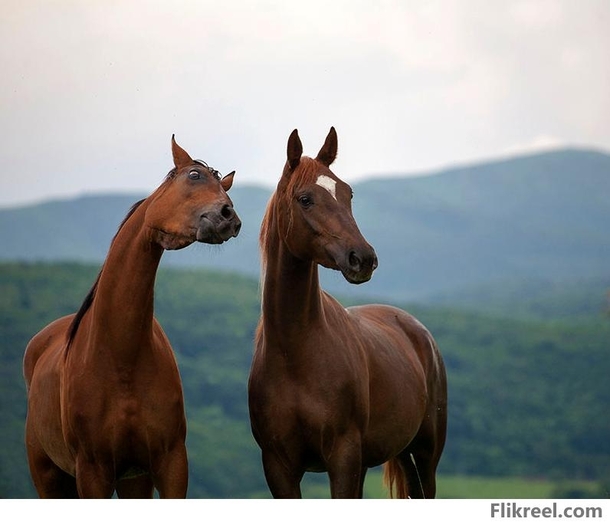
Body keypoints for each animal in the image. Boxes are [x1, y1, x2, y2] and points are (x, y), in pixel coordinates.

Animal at [23, 136, 242, 498]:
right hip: (48, 477)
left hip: (133, 480)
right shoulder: (92, 471)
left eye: (222, 185)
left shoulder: (169, 463)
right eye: (194, 175)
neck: (121, 358)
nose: (229, 216)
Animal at [247, 127, 446, 496]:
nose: (363, 258)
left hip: (426, 453)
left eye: (348, 193)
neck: (295, 354)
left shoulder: (343, 457)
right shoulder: (278, 467)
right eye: (305, 199)